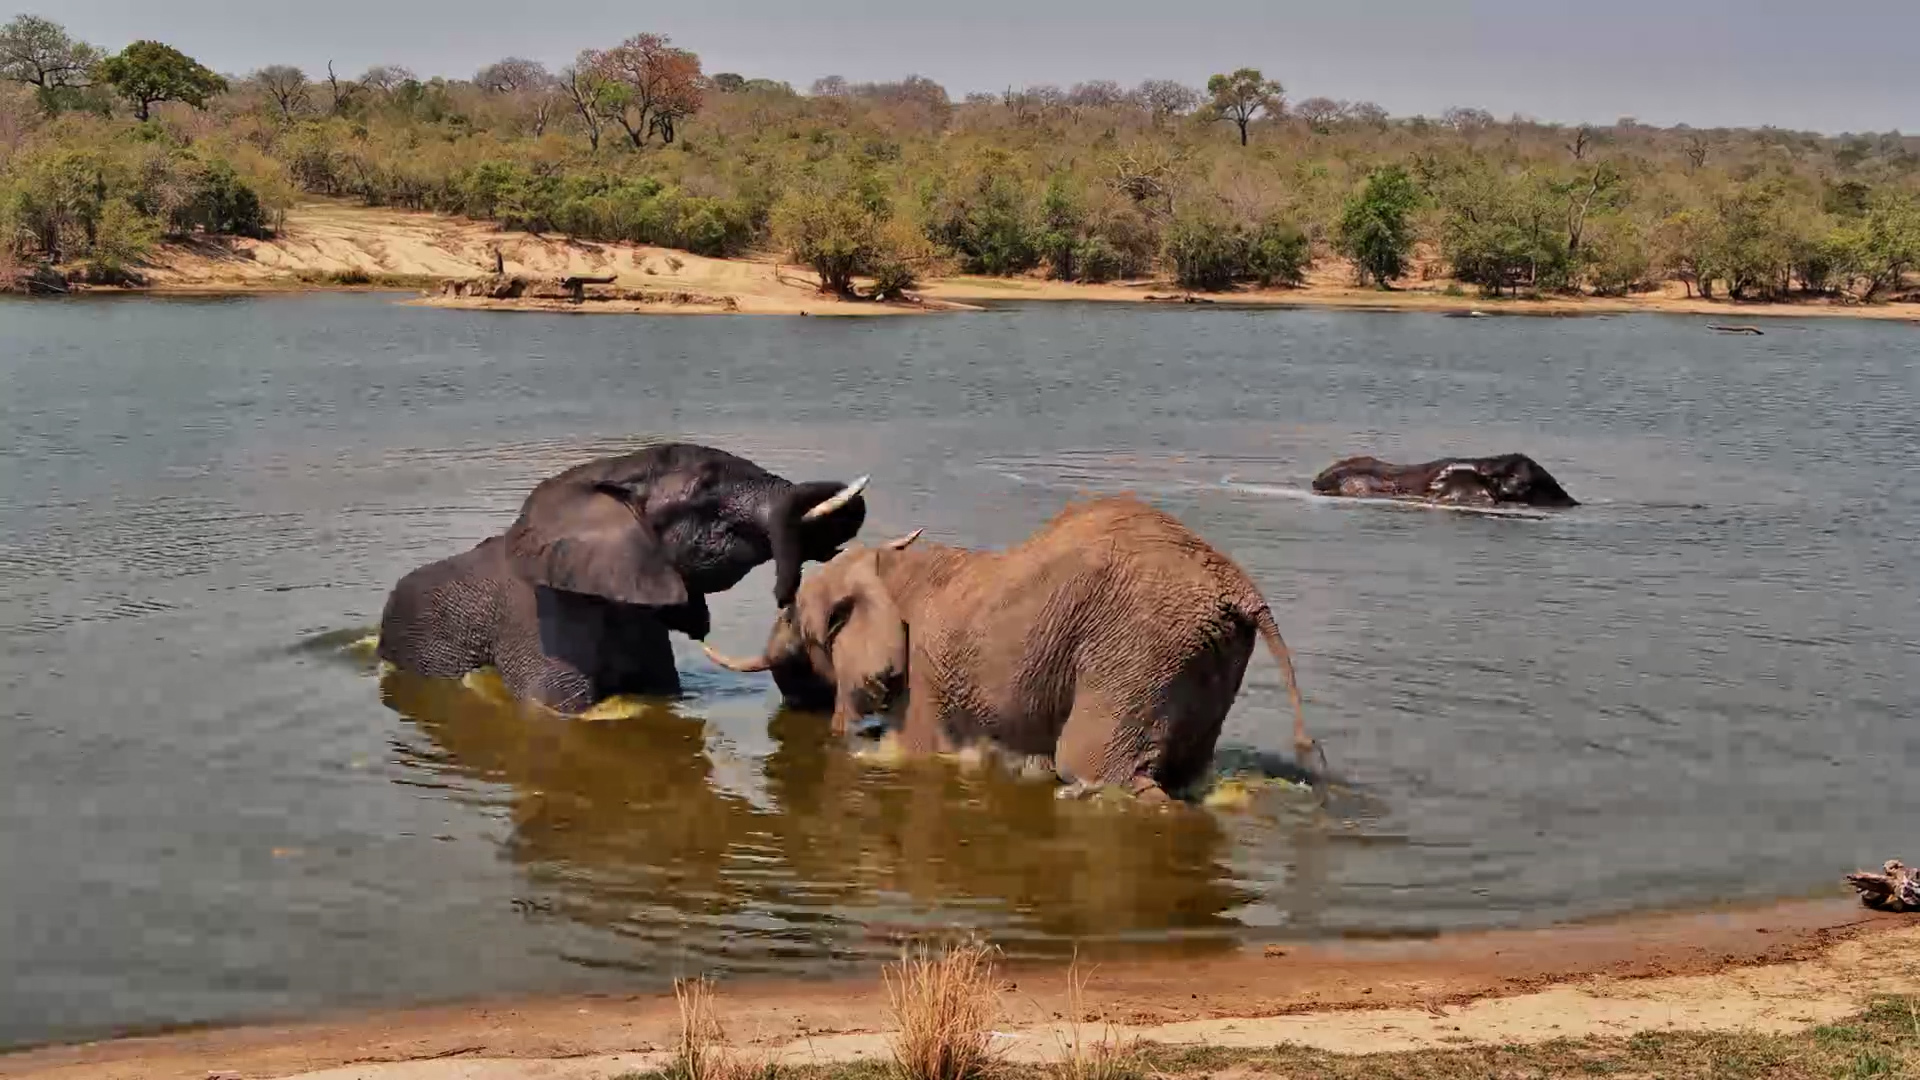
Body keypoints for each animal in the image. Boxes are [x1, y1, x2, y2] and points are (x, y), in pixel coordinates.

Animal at [701, 495, 1313, 803]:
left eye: (796, 620)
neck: (888, 565)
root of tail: (1234, 583)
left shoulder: (924, 675)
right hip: (1201, 654)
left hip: (1139, 649)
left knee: (1092, 766)